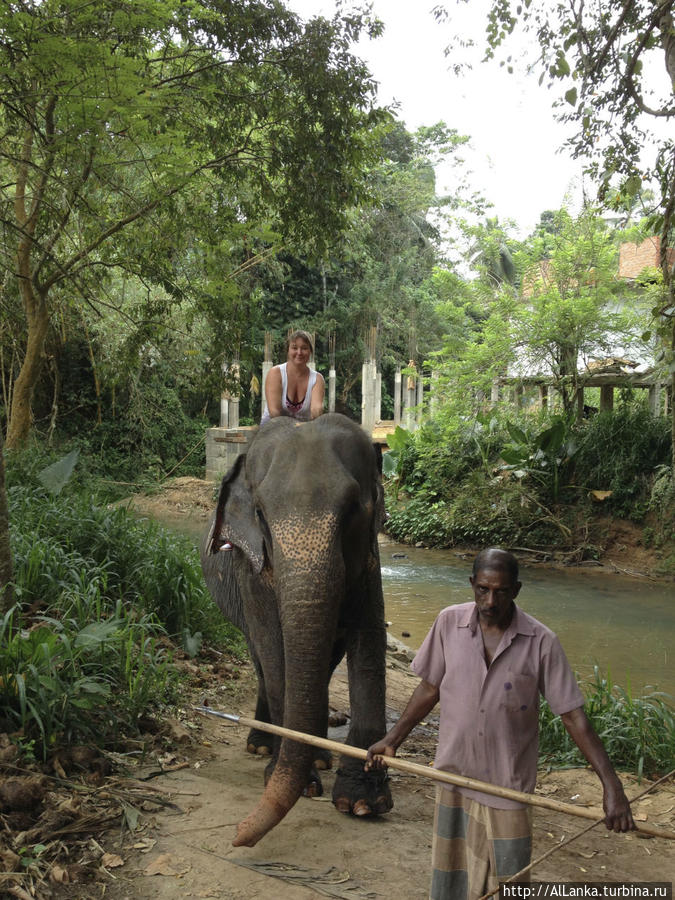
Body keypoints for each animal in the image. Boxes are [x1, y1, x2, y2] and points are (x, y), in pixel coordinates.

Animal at [199, 412, 390, 848]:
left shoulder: (370, 561)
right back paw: (261, 747)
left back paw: (317, 754)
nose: (238, 835)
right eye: (261, 514)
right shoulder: (251, 568)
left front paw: (363, 803)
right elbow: (273, 648)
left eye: (353, 509)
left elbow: (369, 643)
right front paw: (300, 783)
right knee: (260, 659)